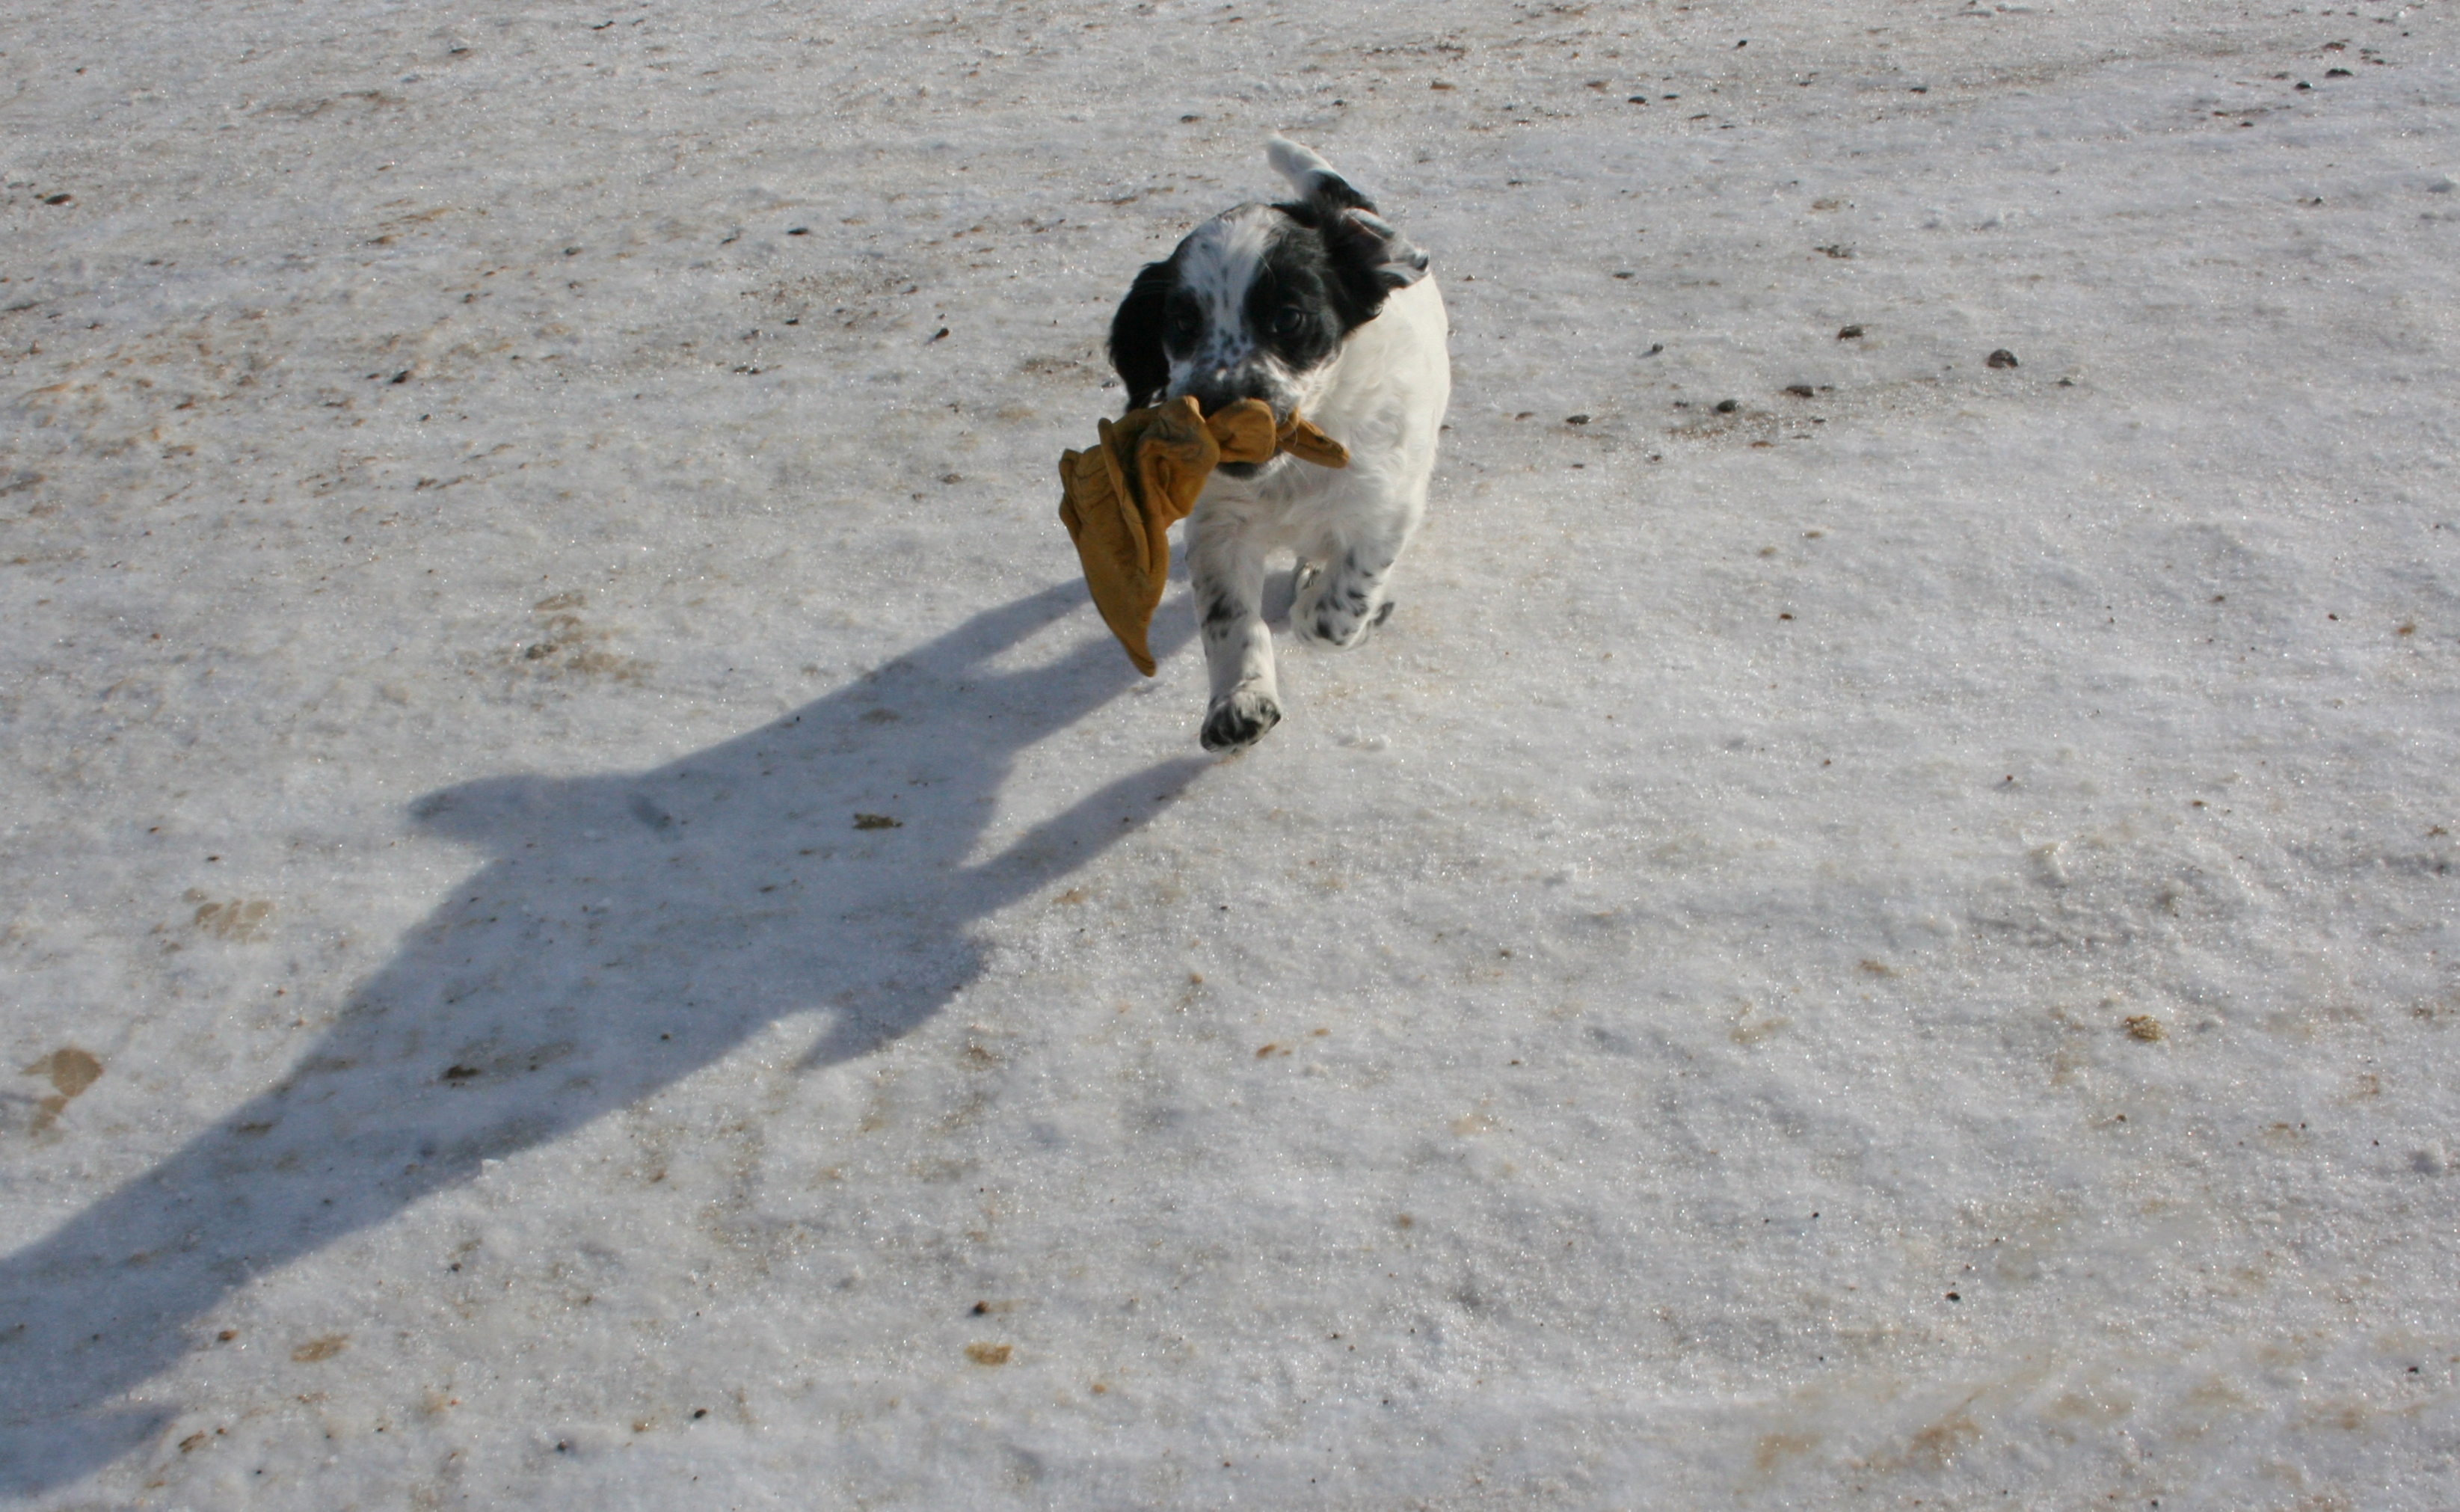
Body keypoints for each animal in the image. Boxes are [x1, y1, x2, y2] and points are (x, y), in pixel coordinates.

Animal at [1112, 138, 1446, 752]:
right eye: (1182, 323)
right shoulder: (1220, 524)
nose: (1220, 404)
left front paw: (1331, 609)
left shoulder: (1386, 508)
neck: (1294, 467)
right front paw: (1239, 701)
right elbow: (1228, 619)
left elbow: (1337, 611)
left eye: (1288, 318)